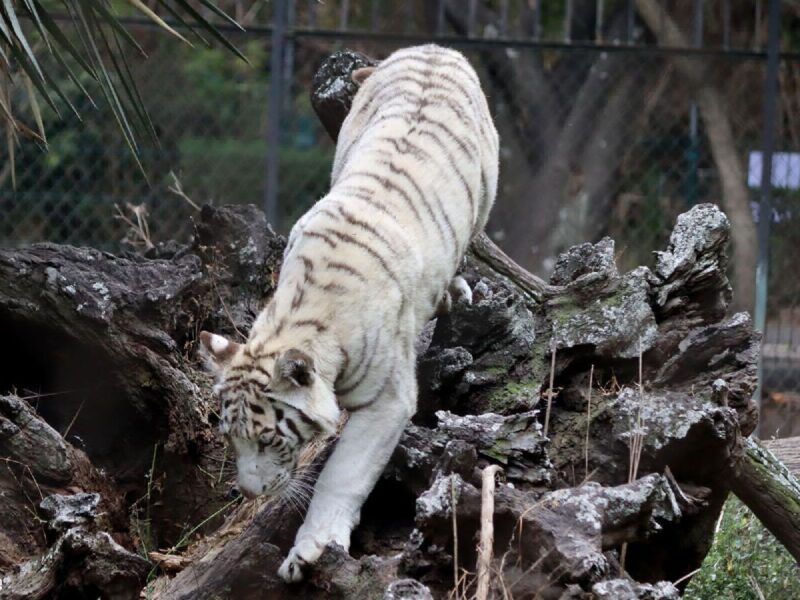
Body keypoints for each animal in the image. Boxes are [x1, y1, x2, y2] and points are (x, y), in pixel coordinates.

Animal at [199, 44, 496, 584]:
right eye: (231, 438)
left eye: (269, 440)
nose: (249, 493)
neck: (302, 315)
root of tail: (432, 47)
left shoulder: (387, 400)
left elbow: (342, 475)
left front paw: (310, 550)